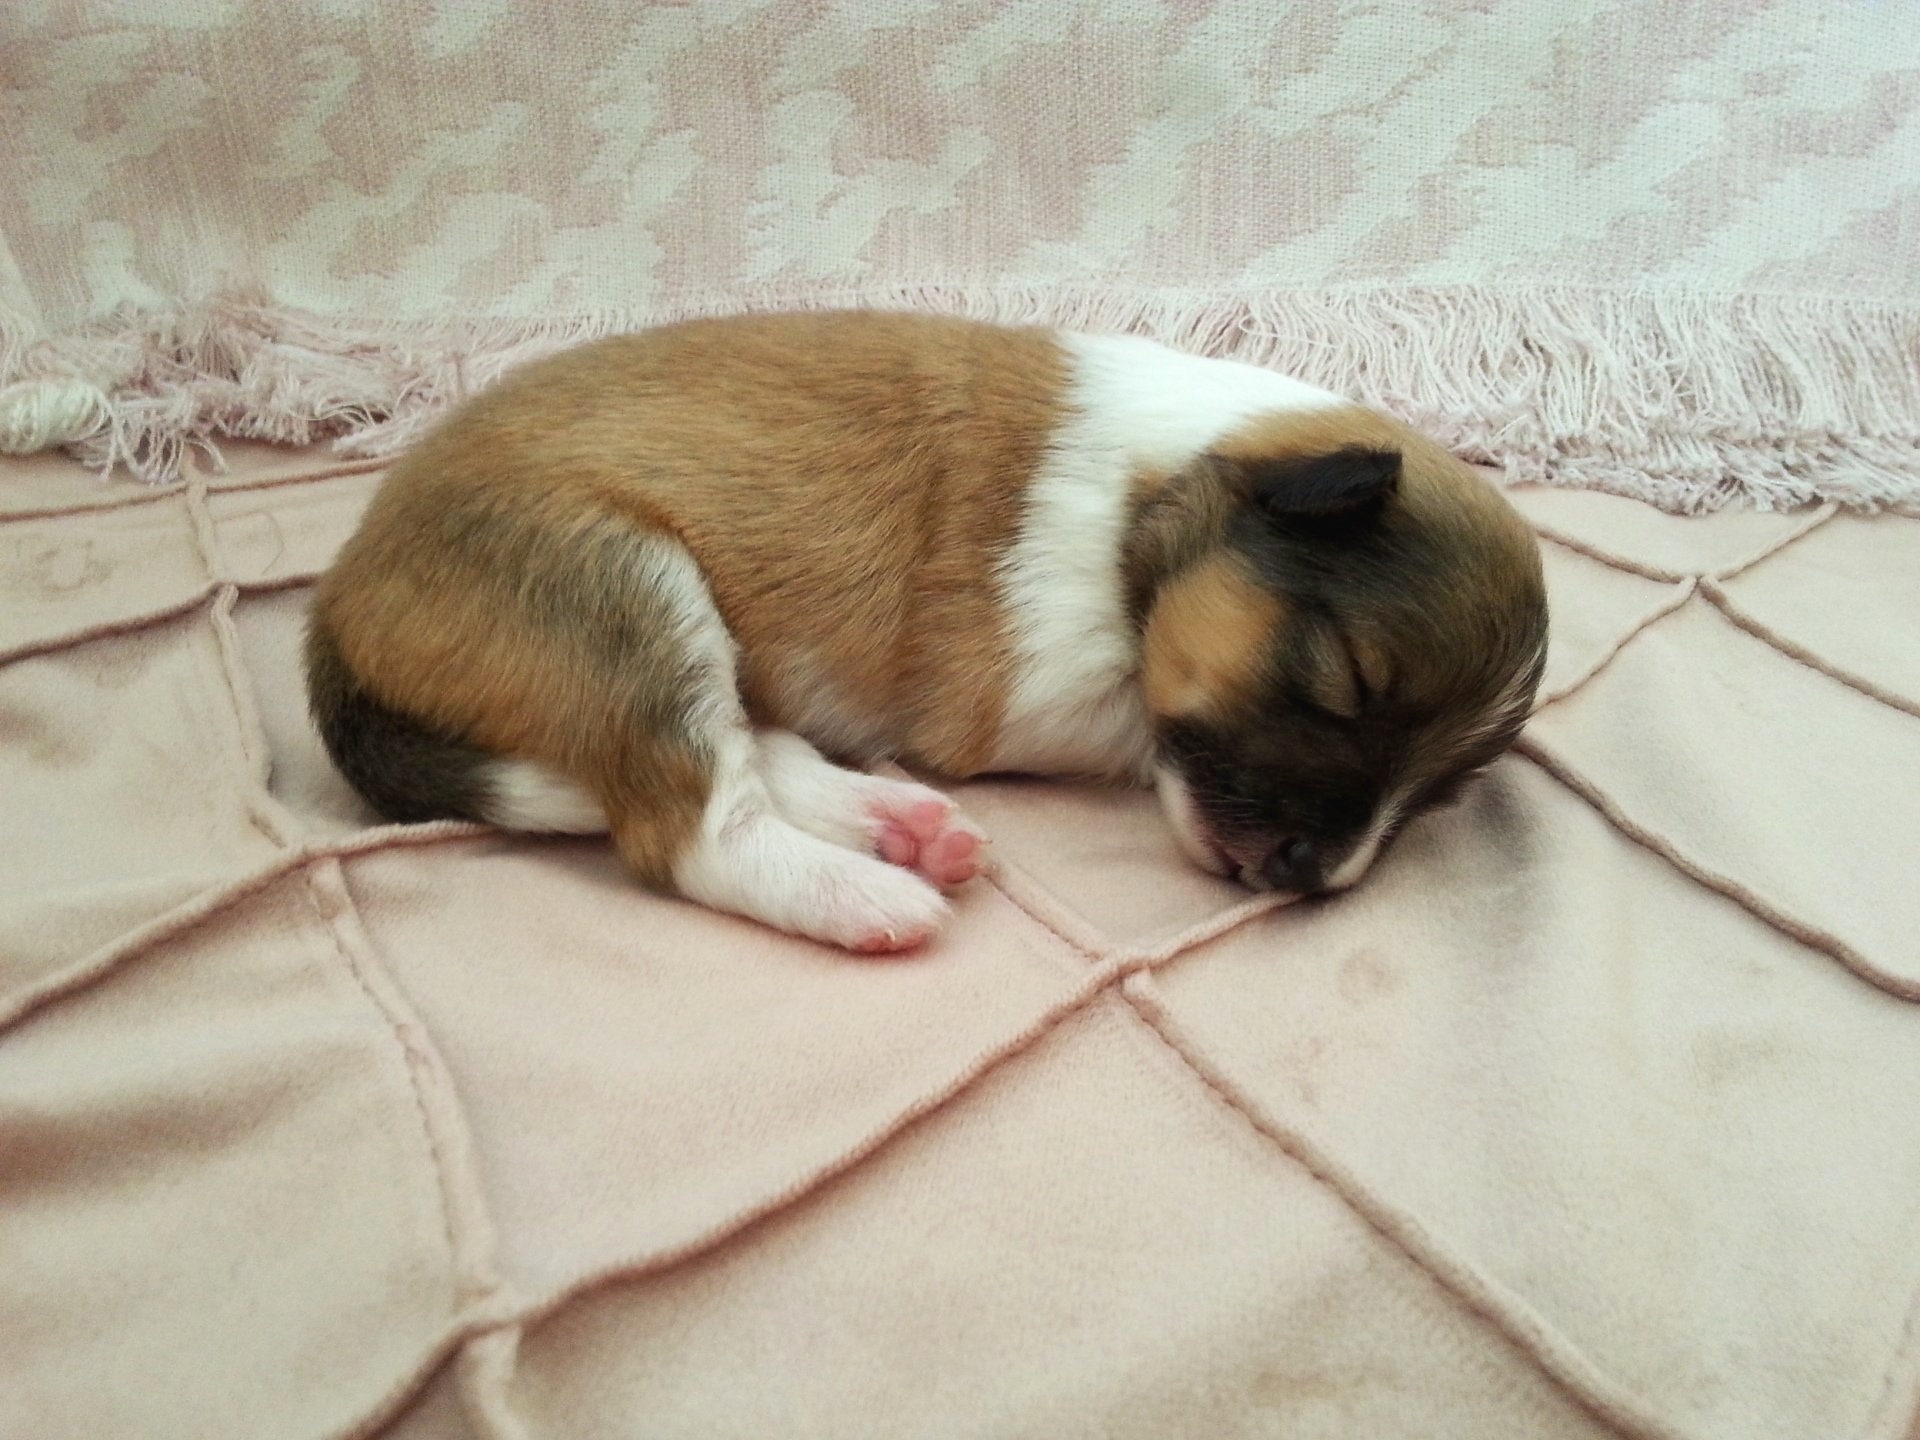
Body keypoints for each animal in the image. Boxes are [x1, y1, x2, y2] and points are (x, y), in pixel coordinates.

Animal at [308, 311, 1547, 952]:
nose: (1309, 876)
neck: (1157, 494)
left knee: (733, 748)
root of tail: (335, 606)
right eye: (1349, 679)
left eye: (1442, 795)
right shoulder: (1041, 677)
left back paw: (894, 823)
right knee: (692, 824)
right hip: (619, 585)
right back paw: (869, 894)